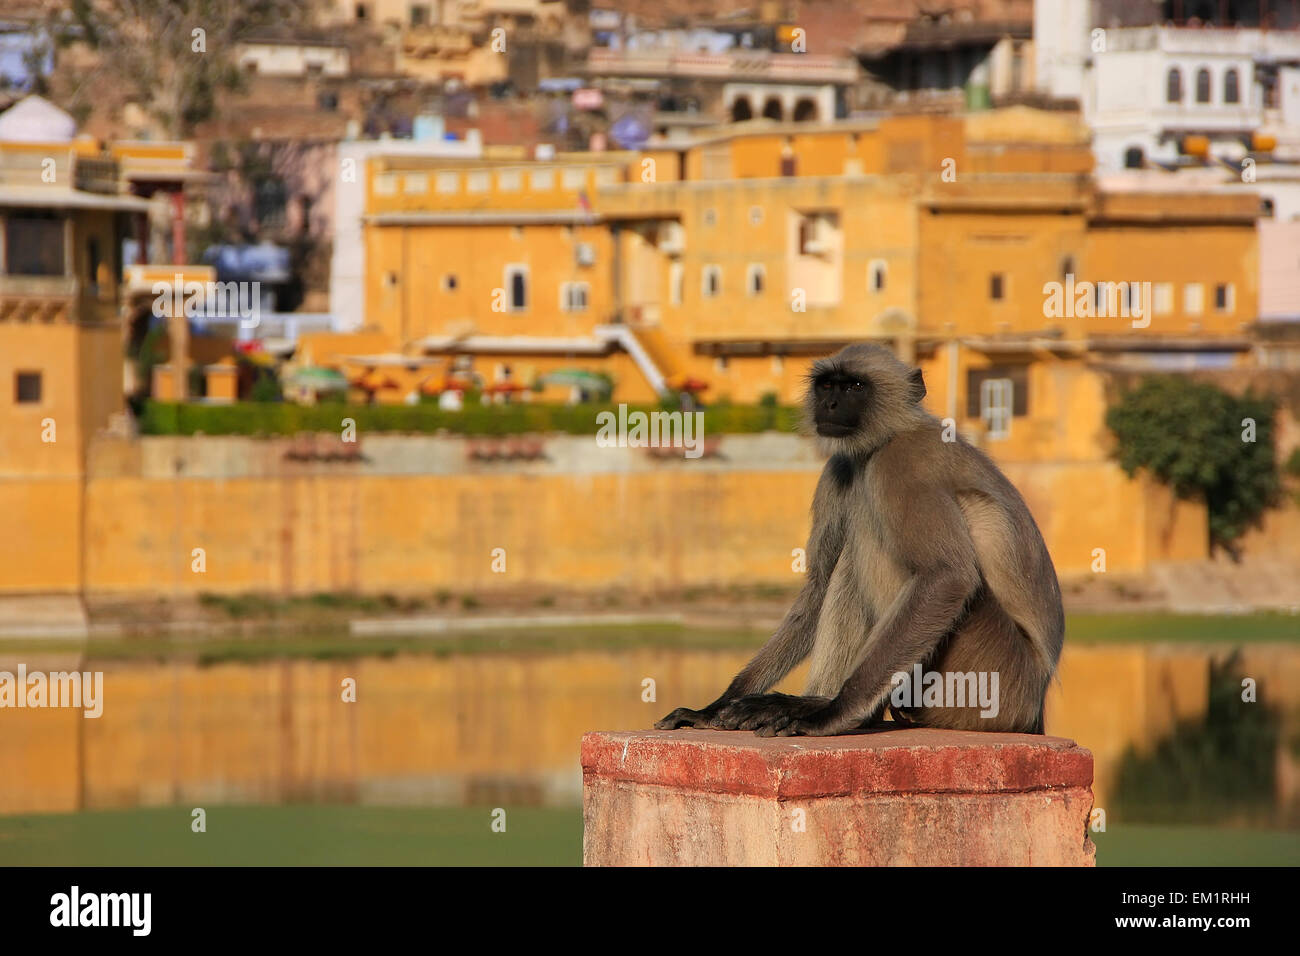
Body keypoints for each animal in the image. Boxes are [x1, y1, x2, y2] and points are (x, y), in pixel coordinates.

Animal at [655, 343, 1060, 738]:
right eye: (827, 386)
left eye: (854, 387)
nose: (830, 405)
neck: (886, 438)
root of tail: (1034, 705)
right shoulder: (839, 469)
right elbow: (818, 586)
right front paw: (715, 707)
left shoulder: (900, 464)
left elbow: (947, 575)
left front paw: (834, 712)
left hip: (988, 677)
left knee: (872, 534)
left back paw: (844, 712)